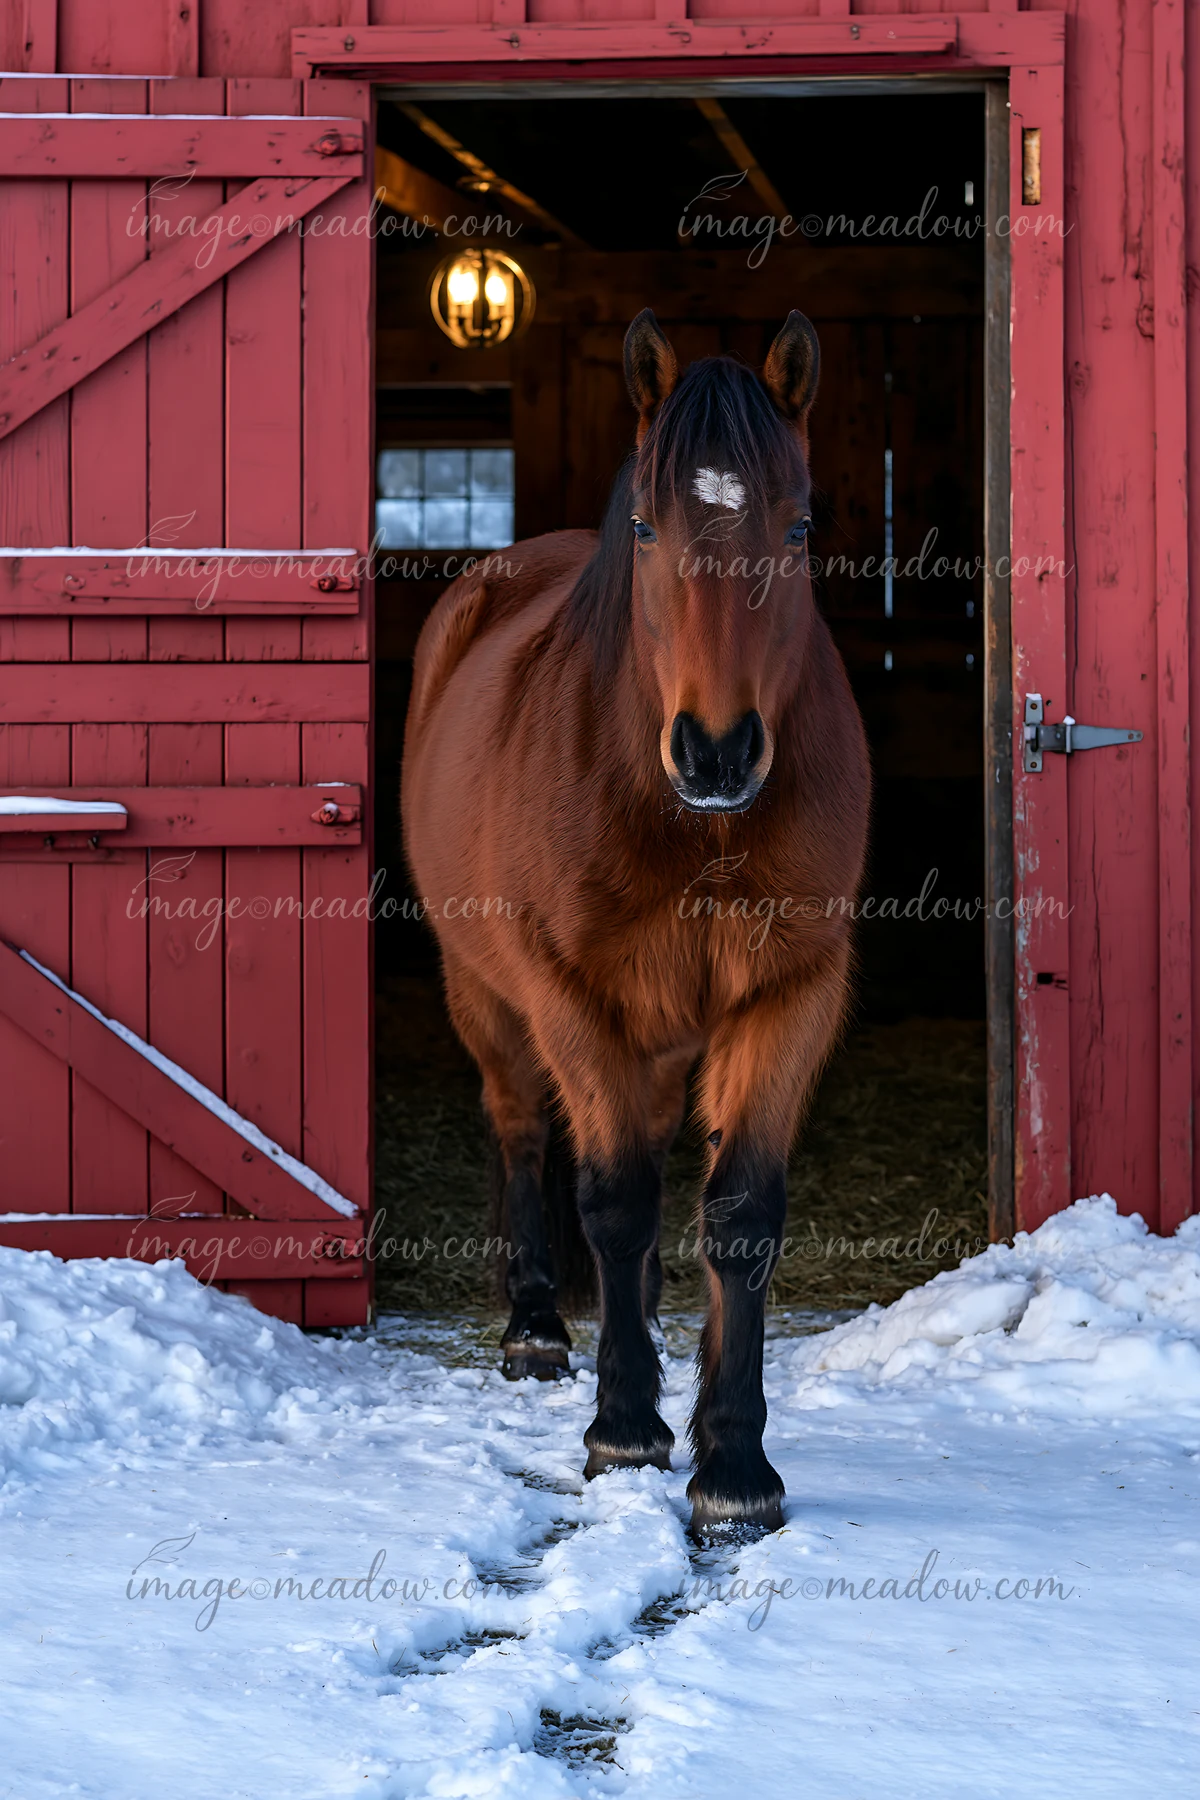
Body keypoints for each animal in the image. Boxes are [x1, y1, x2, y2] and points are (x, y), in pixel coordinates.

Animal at [402, 309, 870, 1536]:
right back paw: (536, 1328)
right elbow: (612, 1200)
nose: (716, 752)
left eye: (799, 523)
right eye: (652, 526)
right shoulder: (574, 996)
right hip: (488, 993)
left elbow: (739, 1211)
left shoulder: (789, 993)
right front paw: (624, 1427)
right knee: (525, 1126)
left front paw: (734, 1462)